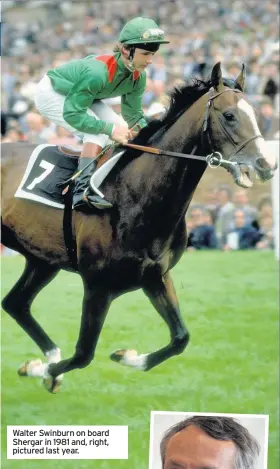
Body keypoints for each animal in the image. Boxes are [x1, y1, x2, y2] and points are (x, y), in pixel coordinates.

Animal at [0, 62, 278, 392]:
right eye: (230, 115)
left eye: (256, 114)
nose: (265, 165)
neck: (135, 193)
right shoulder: (97, 286)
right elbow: (83, 354)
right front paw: (42, 370)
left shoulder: (156, 276)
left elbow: (180, 338)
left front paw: (126, 356)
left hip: (42, 259)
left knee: (16, 303)